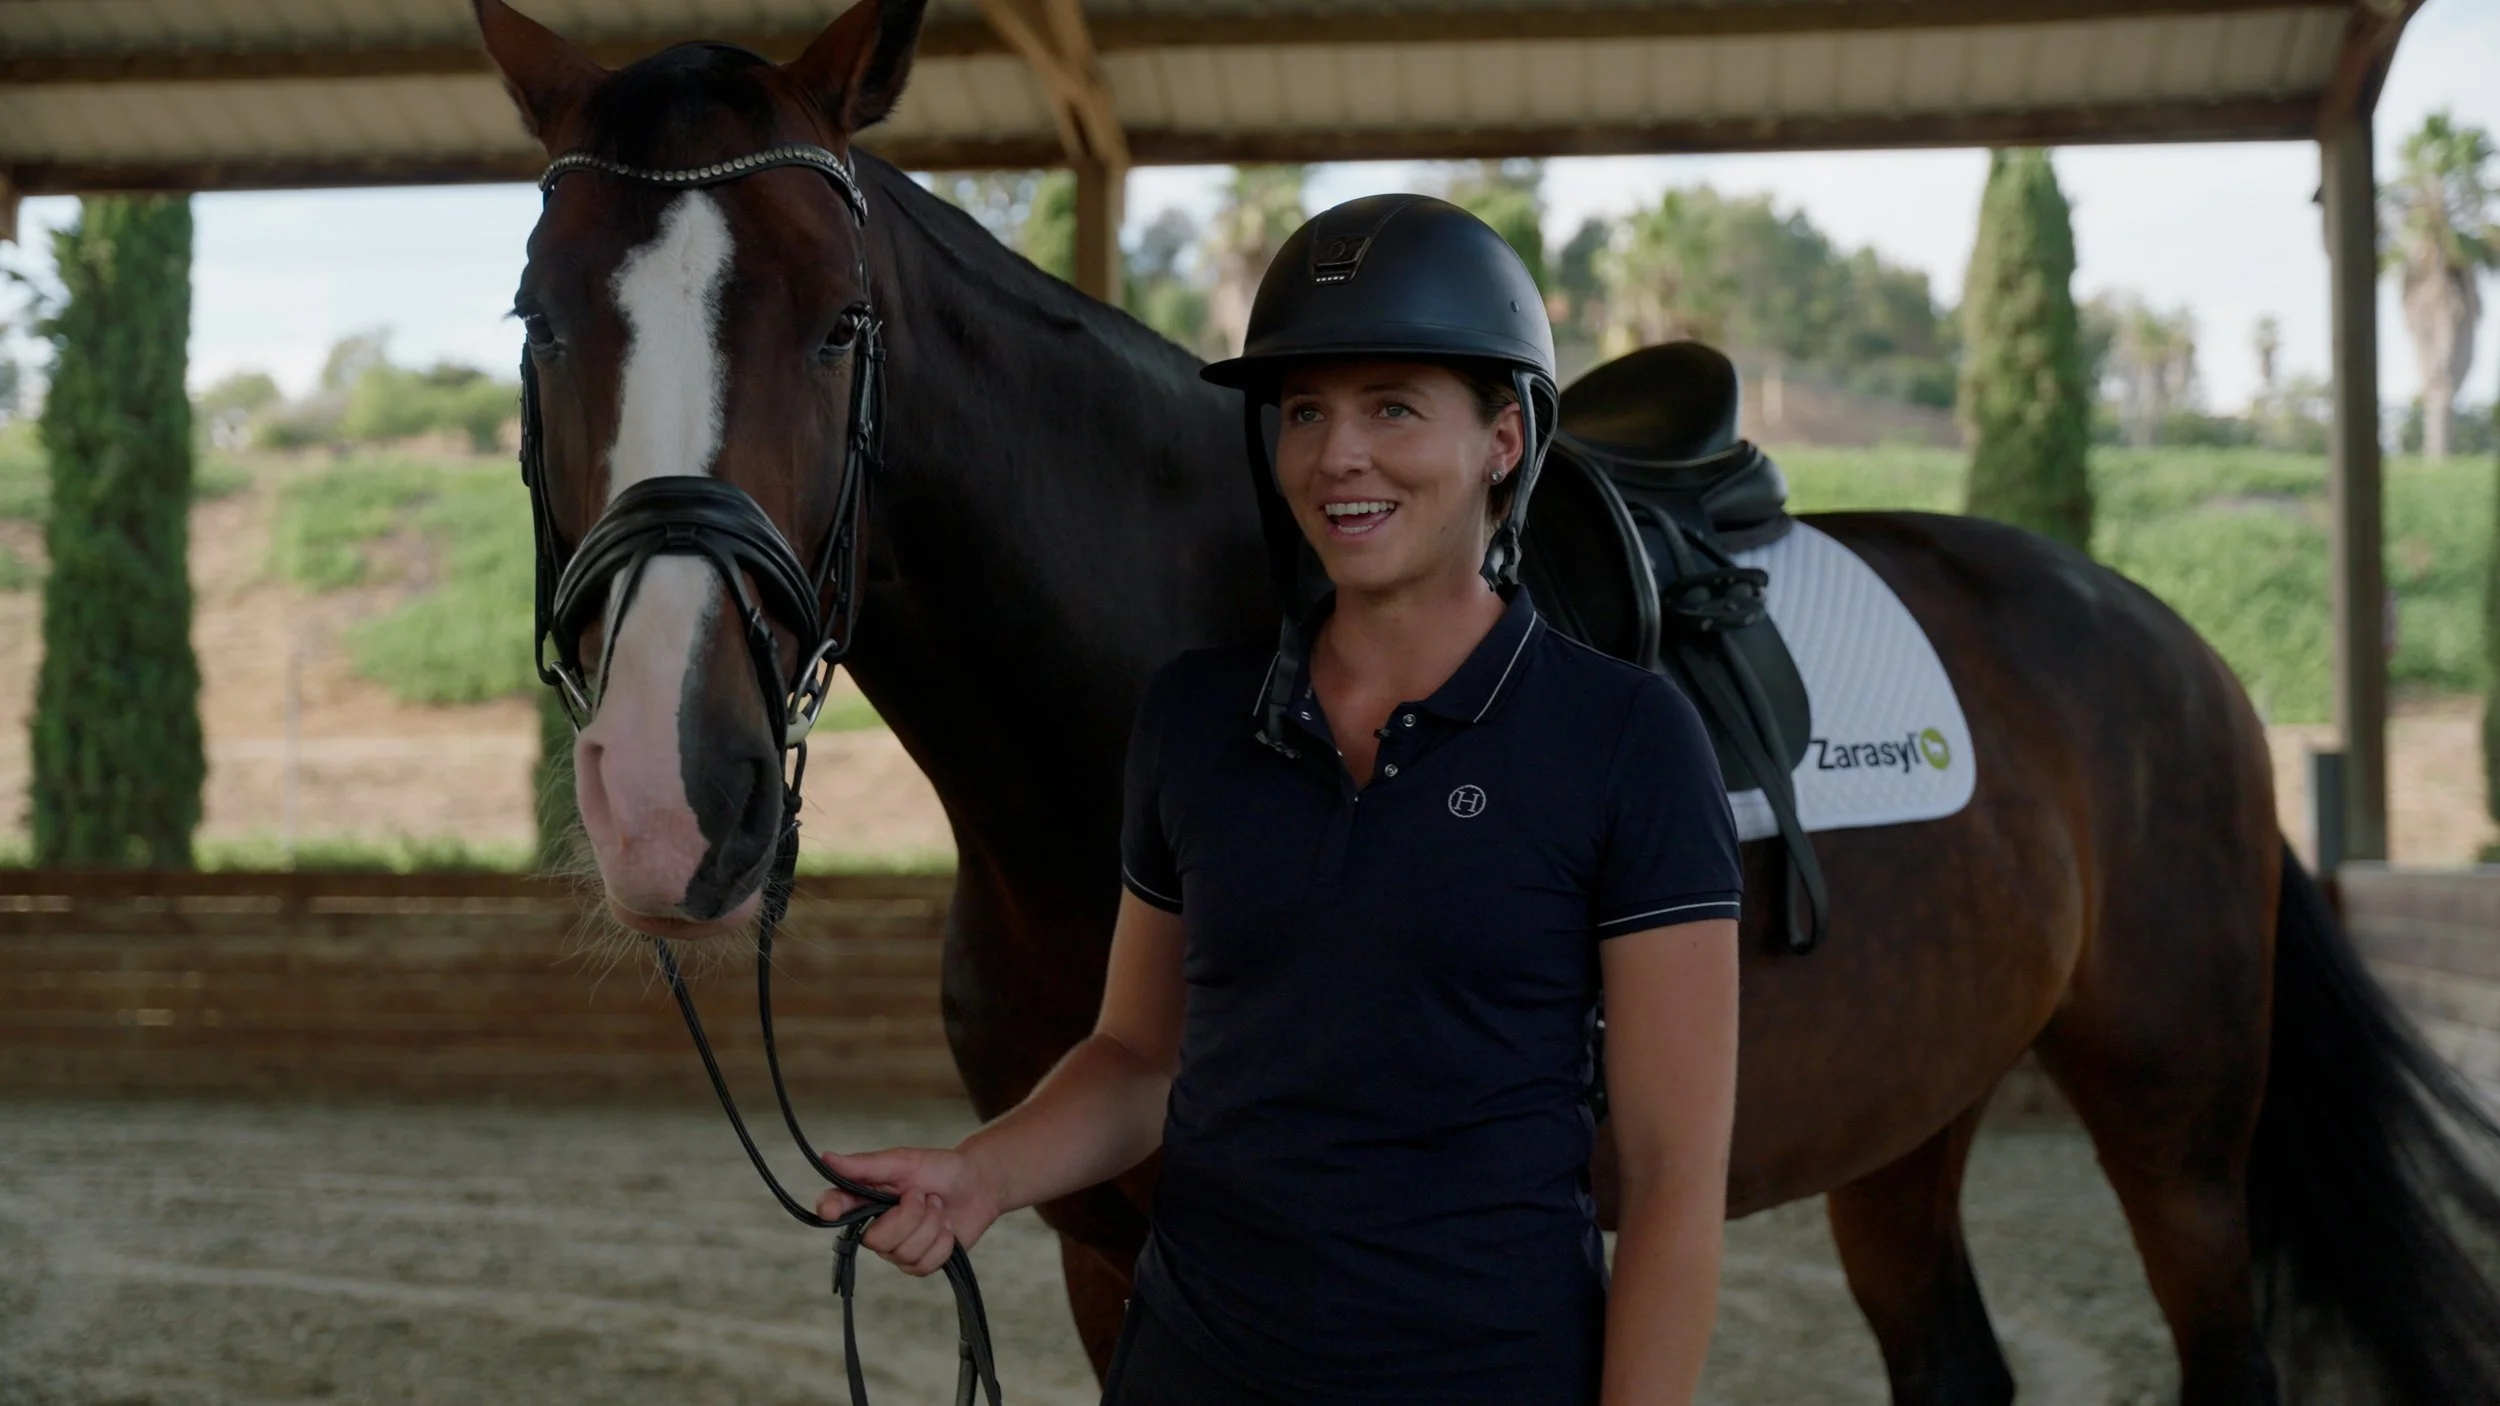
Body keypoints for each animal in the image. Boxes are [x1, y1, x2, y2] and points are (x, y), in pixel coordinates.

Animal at [473, 1, 2500, 1400]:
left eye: (841, 324)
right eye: (538, 320)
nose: (664, 798)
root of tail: (2166, 646)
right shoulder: (1112, 1250)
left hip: (2181, 1137)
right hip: (1908, 1126)